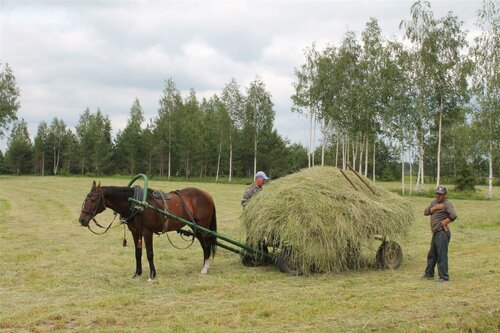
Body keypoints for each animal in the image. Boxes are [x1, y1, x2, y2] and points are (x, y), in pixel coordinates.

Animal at [78, 180, 217, 278]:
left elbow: (149, 253)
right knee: (204, 245)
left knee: (207, 244)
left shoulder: (147, 232)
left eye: (94, 199)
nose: (82, 220)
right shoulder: (135, 232)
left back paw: (205, 269)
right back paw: (205, 265)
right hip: (196, 227)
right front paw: (137, 273)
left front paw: (152, 275)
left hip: (203, 226)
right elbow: (137, 253)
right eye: (86, 198)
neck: (136, 203)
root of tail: (208, 195)